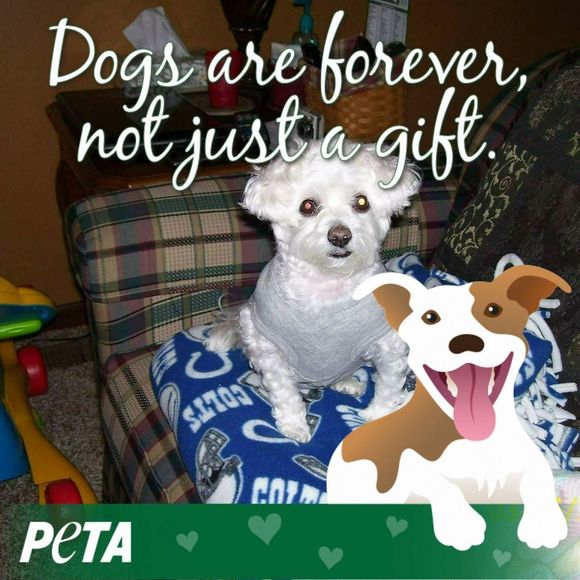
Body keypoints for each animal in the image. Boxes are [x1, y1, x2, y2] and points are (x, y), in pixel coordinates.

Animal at [205, 141, 420, 442]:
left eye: (362, 202)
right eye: (308, 206)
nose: (340, 236)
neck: (327, 285)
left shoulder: (390, 346)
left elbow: (388, 386)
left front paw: (378, 417)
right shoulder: (268, 350)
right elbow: (284, 391)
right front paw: (294, 425)